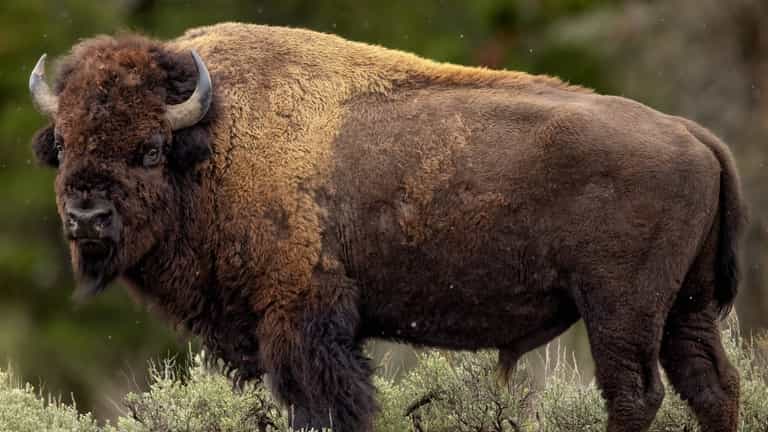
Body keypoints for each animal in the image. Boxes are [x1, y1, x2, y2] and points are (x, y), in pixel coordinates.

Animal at [29, 23, 745, 432]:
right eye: (62, 143)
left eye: (150, 148)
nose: (86, 217)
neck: (214, 141)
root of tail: (693, 132)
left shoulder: (303, 321)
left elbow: (326, 405)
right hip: (686, 308)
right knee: (711, 387)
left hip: (621, 308)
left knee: (634, 394)